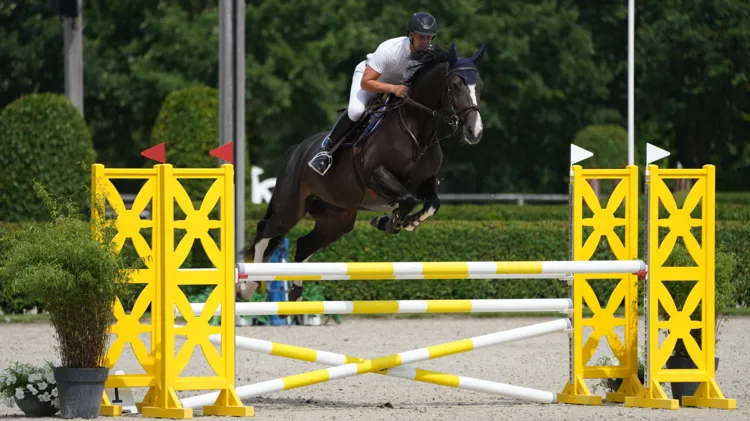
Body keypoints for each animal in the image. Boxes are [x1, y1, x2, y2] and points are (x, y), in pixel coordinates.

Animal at [238, 42, 486, 304]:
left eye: (480, 85)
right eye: (456, 84)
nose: (475, 131)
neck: (416, 130)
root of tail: (295, 150)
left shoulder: (425, 182)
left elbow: (431, 204)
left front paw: (404, 222)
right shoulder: (376, 175)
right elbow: (407, 199)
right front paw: (388, 222)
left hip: (337, 218)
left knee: (304, 244)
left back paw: (295, 293)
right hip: (290, 207)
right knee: (266, 231)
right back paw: (248, 286)